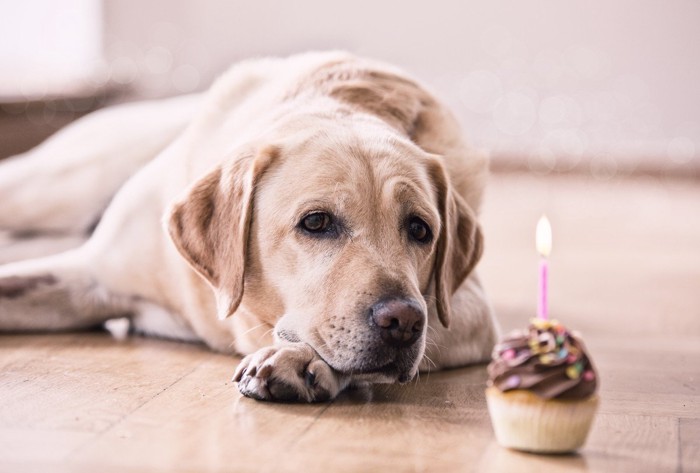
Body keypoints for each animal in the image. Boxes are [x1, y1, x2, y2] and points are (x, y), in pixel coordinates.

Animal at [2, 52, 500, 402]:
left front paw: (297, 358)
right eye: (316, 222)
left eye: (420, 230)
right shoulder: (91, 273)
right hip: (52, 186)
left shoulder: (465, 305)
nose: (402, 322)